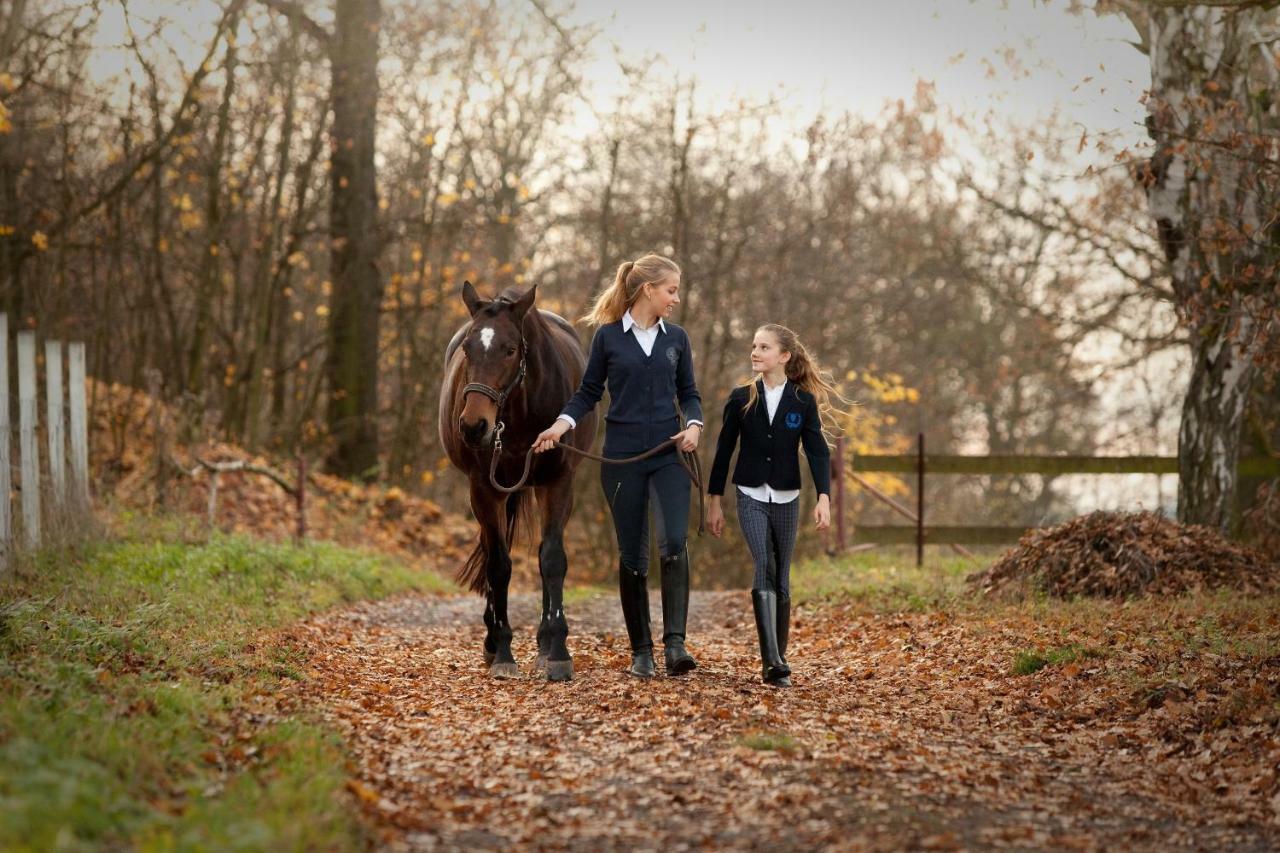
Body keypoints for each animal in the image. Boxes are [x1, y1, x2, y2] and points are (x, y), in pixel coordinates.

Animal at [435, 281, 593, 681]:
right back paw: (492, 641)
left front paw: (557, 651)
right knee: (493, 551)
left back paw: (544, 643)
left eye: (509, 350)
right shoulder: (484, 488)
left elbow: (552, 559)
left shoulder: (557, 483)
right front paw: (503, 650)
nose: (474, 426)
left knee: (542, 555)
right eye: (468, 348)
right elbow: (498, 565)